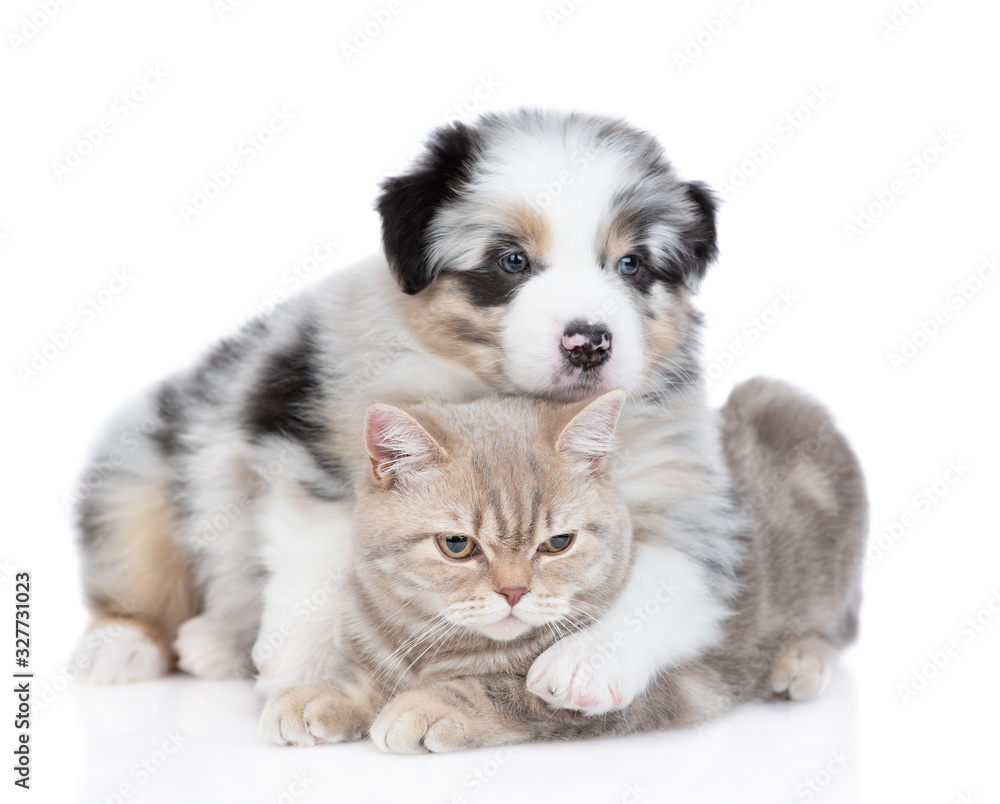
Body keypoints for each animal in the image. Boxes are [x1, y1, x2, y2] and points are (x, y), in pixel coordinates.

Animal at [74, 108, 848, 724]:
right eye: (511, 261)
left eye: (631, 264)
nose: (590, 341)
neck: (507, 398)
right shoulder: (304, 430)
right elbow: (320, 559)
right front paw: (309, 671)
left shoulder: (686, 495)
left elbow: (670, 576)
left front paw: (584, 664)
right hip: (139, 467)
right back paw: (130, 644)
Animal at [260, 380, 868, 752]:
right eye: (457, 545)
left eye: (557, 543)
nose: (513, 592)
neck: (446, 650)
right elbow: (362, 676)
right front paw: (318, 694)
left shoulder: (668, 690)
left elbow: (504, 692)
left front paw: (428, 707)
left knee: (833, 630)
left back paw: (798, 662)